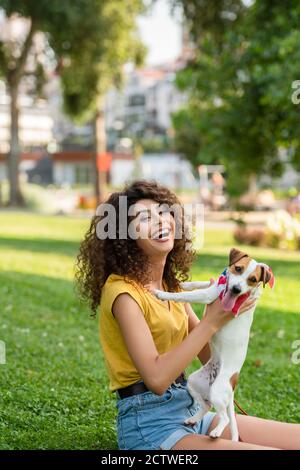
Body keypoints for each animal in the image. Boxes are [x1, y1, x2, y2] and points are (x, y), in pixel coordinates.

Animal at [155, 248, 274, 442]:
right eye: (238, 268)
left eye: (253, 279)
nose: (236, 289)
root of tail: (233, 384)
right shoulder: (214, 286)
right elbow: (201, 283)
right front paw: (183, 283)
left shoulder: (207, 295)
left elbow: (185, 296)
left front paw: (164, 294)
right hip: (194, 382)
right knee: (206, 406)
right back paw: (192, 420)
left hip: (217, 392)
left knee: (224, 417)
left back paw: (216, 432)